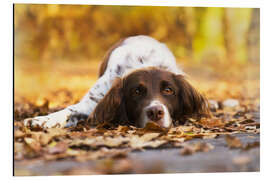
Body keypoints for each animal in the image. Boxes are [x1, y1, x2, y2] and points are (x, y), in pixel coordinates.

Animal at [23, 35, 209, 129]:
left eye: (169, 90)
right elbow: (69, 110)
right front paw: (41, 120)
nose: (155, 112)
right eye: (136, 91)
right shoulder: (93, 101)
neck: (144, 61)